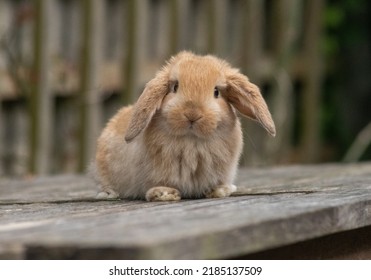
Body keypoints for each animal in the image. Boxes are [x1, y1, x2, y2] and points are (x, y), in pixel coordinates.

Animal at [93, 51, 276, 201]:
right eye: (175, 87)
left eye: (216, 92)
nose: (192, 114)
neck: (192, 141)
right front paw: (164, 193)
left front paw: (220, 190)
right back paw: (108, 193)